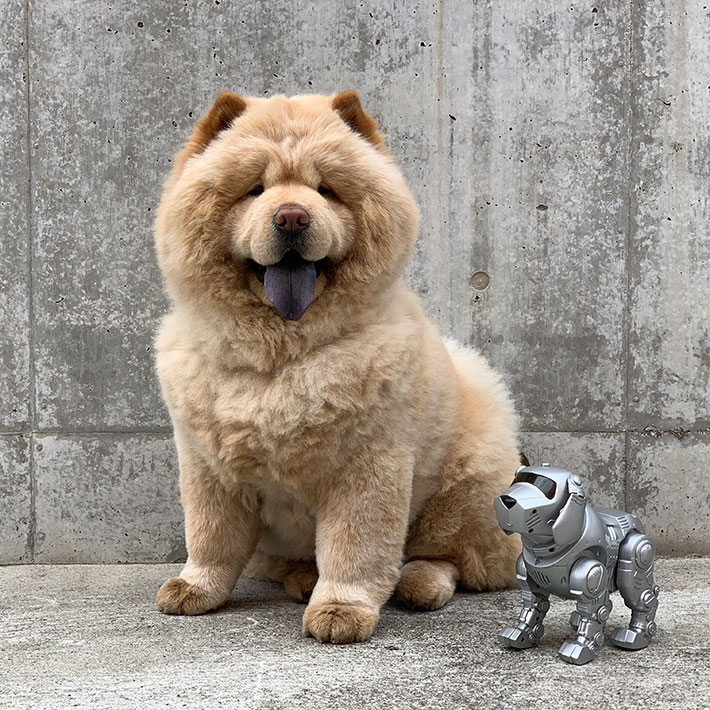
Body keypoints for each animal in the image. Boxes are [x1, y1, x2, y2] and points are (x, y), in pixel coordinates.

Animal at [156, 89, 520, 644]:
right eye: (255, 189)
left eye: (325, 191)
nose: (291, 216)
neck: (283, 353)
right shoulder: (208, 465)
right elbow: (210, 537)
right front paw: (194, 589)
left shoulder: (367, 466)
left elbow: (355, 548)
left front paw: (340, 611)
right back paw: (304, 577)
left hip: (468, 486)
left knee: (453, 557)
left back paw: (417, 584)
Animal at [496, 464, 660, 664]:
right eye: (518, 480)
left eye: (547, 488)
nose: (507, 500)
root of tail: (634, 520)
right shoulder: (526, 574)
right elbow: (532, 603)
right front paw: (521, 634)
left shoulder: (590, 574)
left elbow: (593, 611)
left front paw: (581, 648)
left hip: (636, 549)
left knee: (643, 597)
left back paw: (636, 635)